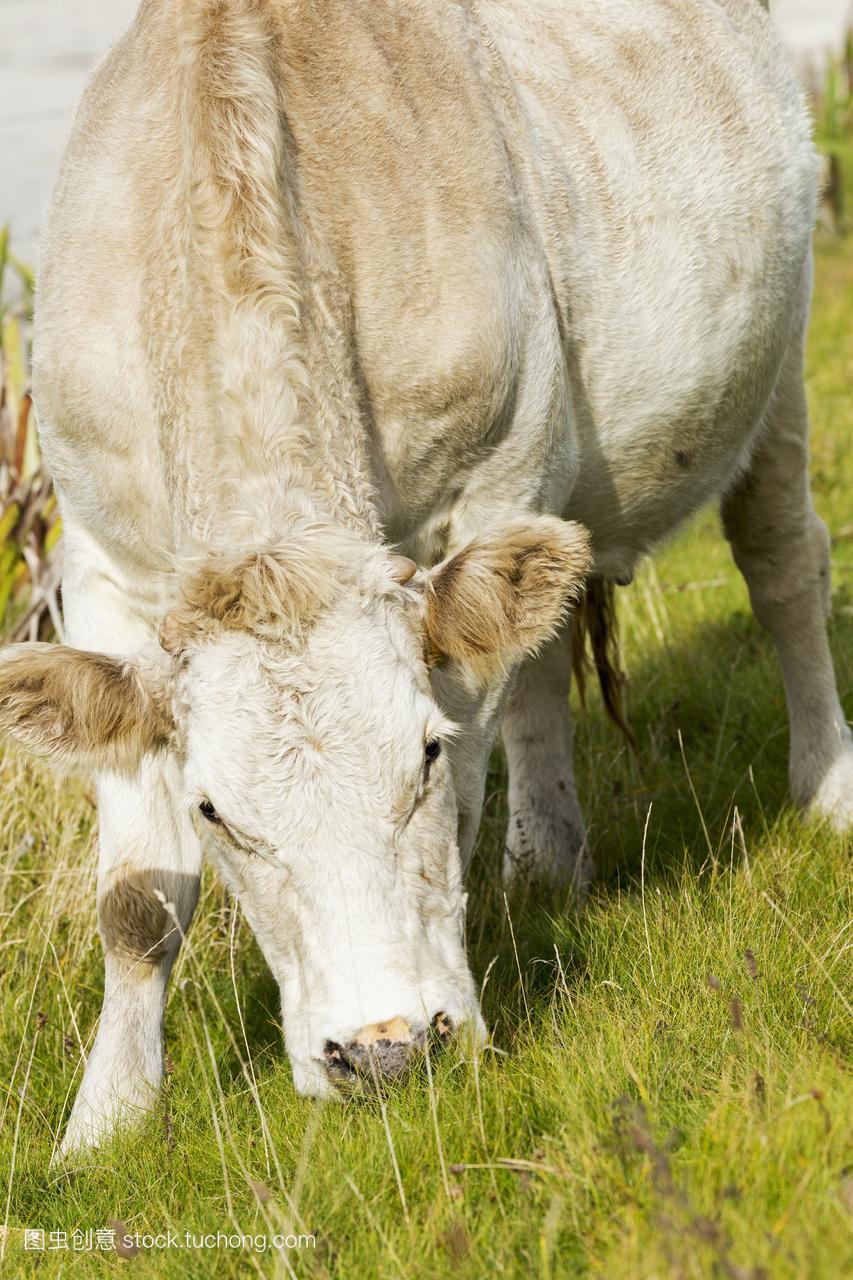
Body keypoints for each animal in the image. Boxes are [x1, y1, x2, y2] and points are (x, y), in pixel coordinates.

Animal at [1, 0, 850, 1162]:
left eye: (422, 756)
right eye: (213, 808)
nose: (385, 1047)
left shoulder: (489, 477)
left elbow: (466, 789)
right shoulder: (99, 552)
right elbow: (136, 899)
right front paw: (103, 1124)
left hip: (775, 350)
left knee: (781, 565)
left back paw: (826, 790)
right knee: (539, 654)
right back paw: (548, 863)